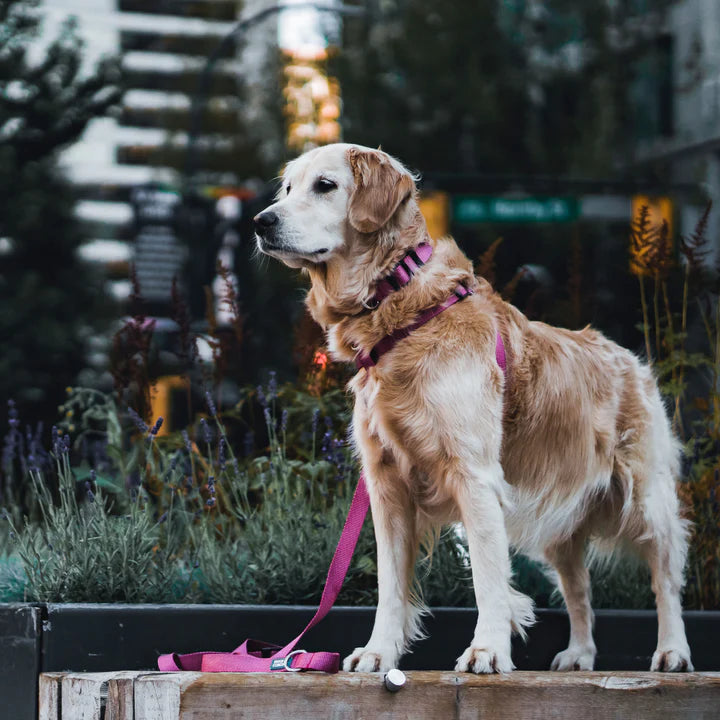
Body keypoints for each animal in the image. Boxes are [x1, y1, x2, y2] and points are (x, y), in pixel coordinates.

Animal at [256, 142, 696, 676]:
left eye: (325, 185)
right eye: (287, 188)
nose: (260, 222)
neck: (402, 311)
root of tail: (630, 358)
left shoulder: (475, 476)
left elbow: (488, 579)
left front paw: (486, 650)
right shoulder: (386, 485)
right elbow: (390, 585)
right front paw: (379, 652)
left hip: (645, 499)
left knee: (665, 578)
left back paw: (673, 650)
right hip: (560, 523)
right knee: (579, 586)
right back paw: (579, 654)